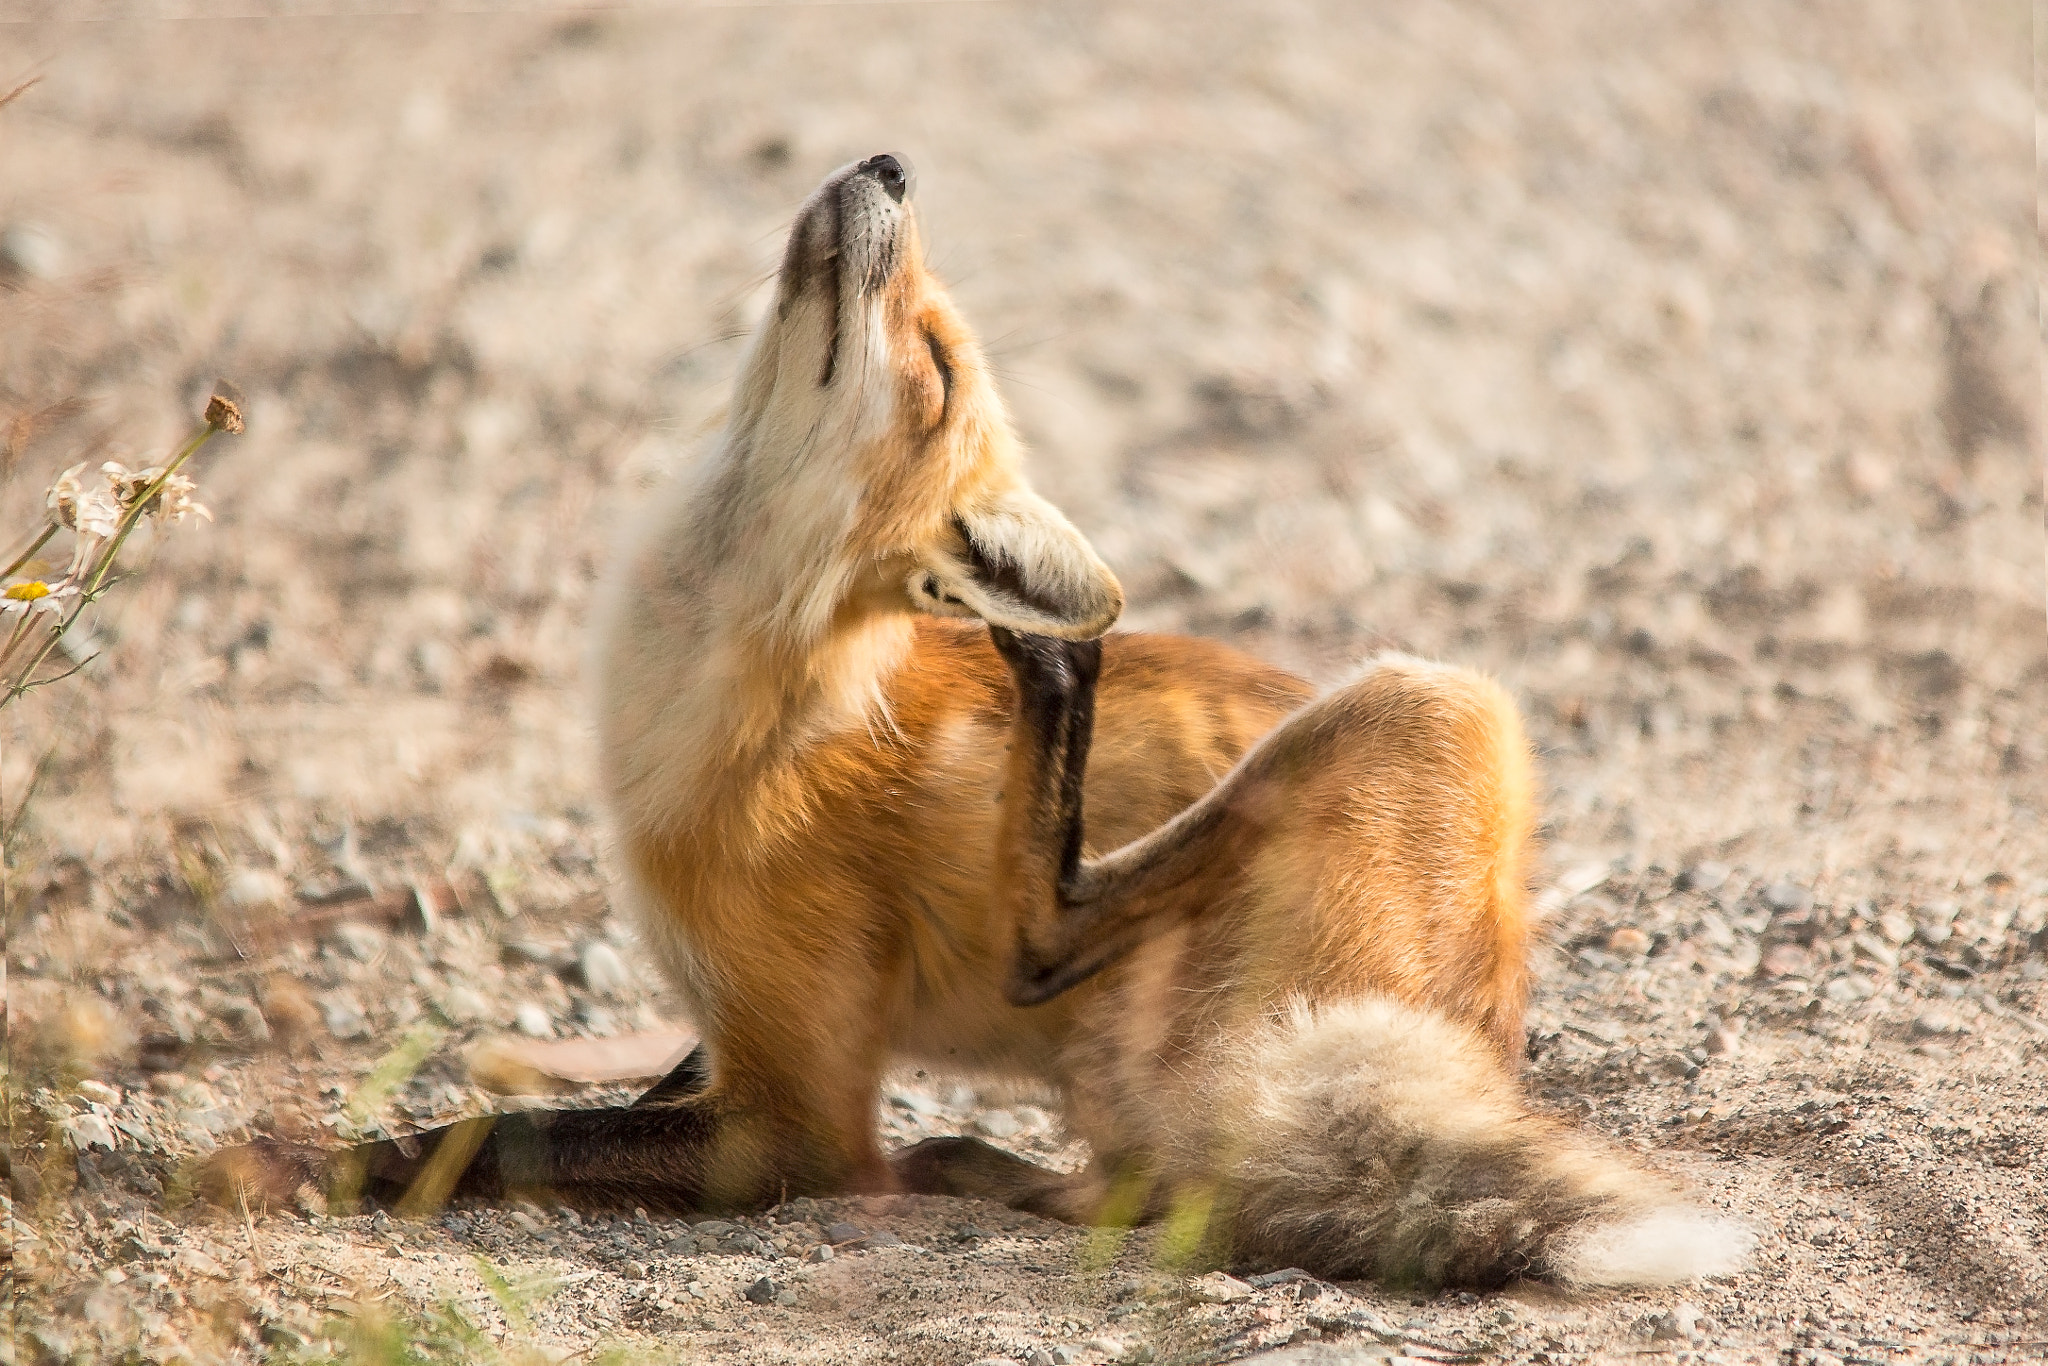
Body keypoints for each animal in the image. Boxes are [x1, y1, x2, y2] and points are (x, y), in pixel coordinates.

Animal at [208, 154, 1748, 1291]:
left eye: (937, 365)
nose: (892, 160)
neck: (722, 698)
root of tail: (1484, 1031)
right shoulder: (730, 1043)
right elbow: (612, 1093)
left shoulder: (794, 1119)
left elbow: (504, 1131)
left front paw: (303, 1168)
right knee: (1160, 1194)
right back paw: (989, 1162)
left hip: (1440, 697)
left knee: (1055, 960)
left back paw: (1055, 699)